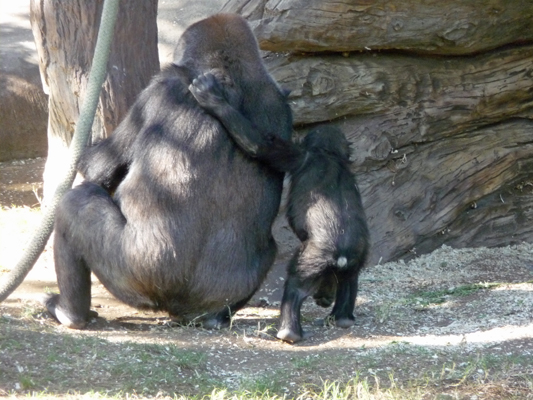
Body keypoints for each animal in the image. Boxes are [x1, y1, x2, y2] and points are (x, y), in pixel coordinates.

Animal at [43, 14, 294, 330]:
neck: (227, 71)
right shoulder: (281, 105)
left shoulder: (161, 84)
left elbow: (97, 167)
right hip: (208, 298)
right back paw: (214, 318)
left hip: (136, 272)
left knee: (74, 205)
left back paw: (69, 313)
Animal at [189, 72, 368, 340]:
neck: (329, 155)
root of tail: (342, 254)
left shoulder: (297, 156)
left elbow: (260, 146)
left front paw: (214, 100)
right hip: (357, 256)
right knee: (350, 279)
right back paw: (343, 318)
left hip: (313, 257)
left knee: (296, 284)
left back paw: (288, 331)